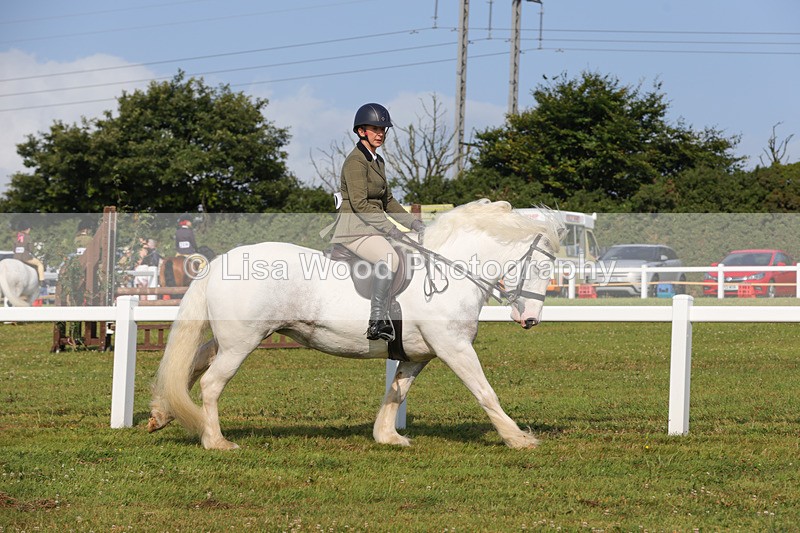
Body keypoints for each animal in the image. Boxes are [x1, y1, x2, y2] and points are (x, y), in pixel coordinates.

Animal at [148, 200, 563, 450]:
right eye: (542, 268)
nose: (529, 319)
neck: (450, 271)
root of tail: (221, 261)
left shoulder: (418, 355)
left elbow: (396, 392)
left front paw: (387, 436)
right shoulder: (454, 348)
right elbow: (485, 392)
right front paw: (518, 438)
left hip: (231, 339)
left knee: (192, 363)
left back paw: (162, 414)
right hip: (241, 342)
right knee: (211, 383)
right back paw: (216, 441)